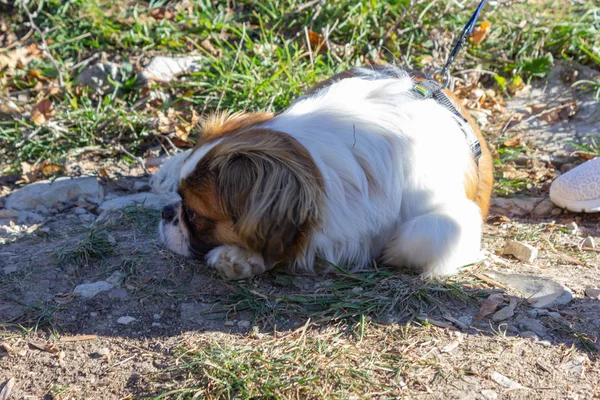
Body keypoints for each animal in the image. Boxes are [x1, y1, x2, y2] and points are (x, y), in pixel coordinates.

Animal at [155, 65, 492, 278]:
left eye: (194, 214)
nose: (166, 212)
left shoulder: (458, 217)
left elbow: (429, 231)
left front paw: (390, 251)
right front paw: (240, 257)